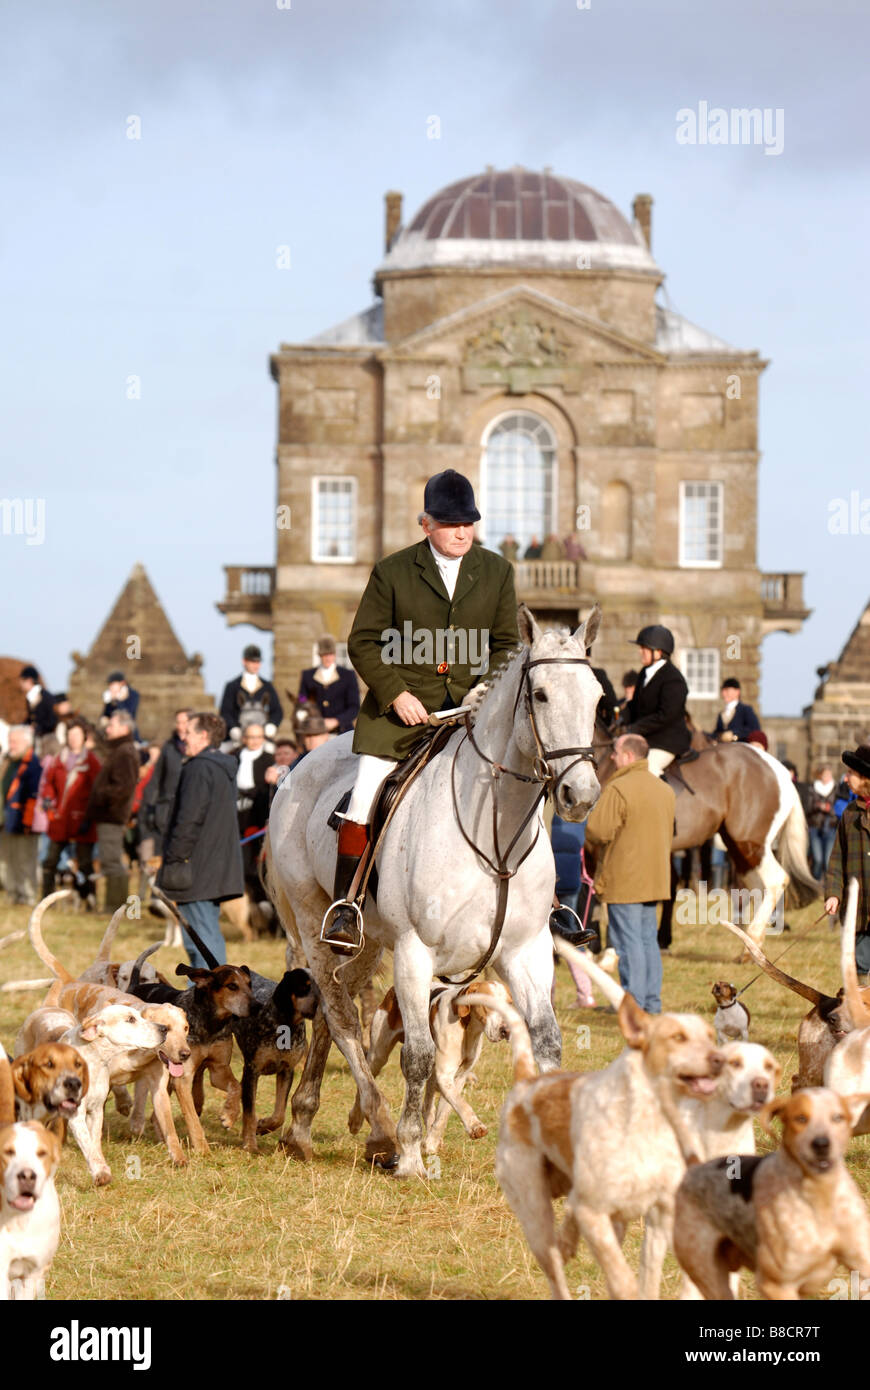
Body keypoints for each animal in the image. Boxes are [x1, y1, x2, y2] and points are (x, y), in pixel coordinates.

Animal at [265, 606, 603, 1173]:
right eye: (540, 695)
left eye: (598, 696)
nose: (582, 794)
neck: (494, 829)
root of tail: (298, 768)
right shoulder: (414, 951)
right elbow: (418, 1057)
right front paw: (409, 1151)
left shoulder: (526, 951)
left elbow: (547, 1044)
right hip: (315, 924)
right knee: (342, 1019)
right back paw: (373, 1128)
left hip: (362, 944)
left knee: (336, 1011)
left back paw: (312, 1122)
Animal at [592, 728, 817, 945]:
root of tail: (778, 769)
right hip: (737, 846)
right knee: (756, 886)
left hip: (751, 842)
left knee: (774, 880)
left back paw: (752, 937)